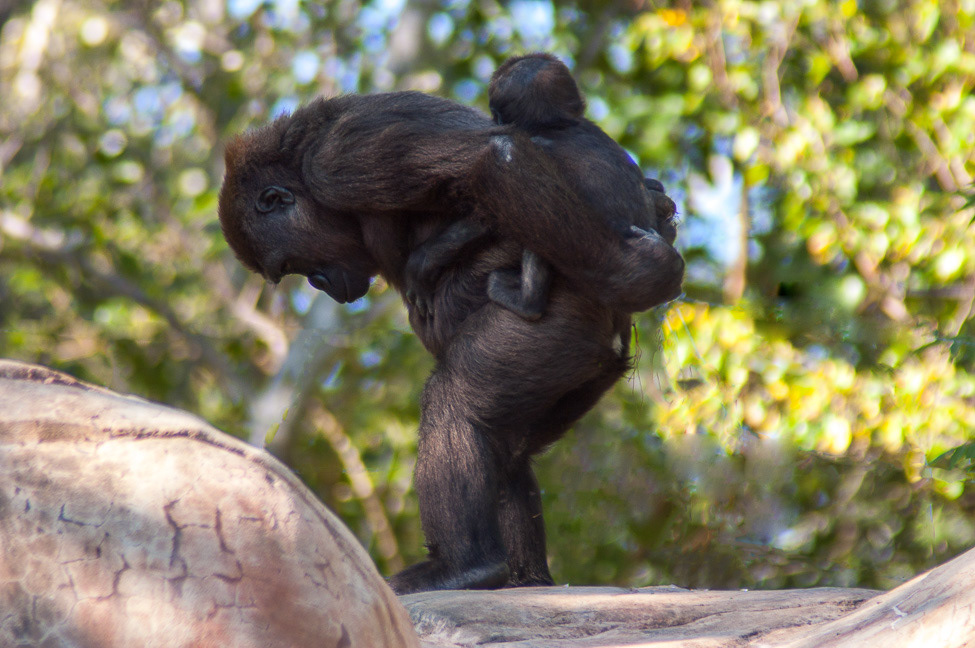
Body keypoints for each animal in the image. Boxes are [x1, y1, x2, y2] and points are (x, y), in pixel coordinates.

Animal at [218, 90, 684, 593]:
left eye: (290, 265)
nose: (321, 285)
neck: (302, 160)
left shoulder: (345, 156)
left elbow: (490, 162)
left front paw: (635, 270)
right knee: (506, 447)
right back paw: (525, 580)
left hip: (561, 325)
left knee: (455, 400)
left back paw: (466, 565)